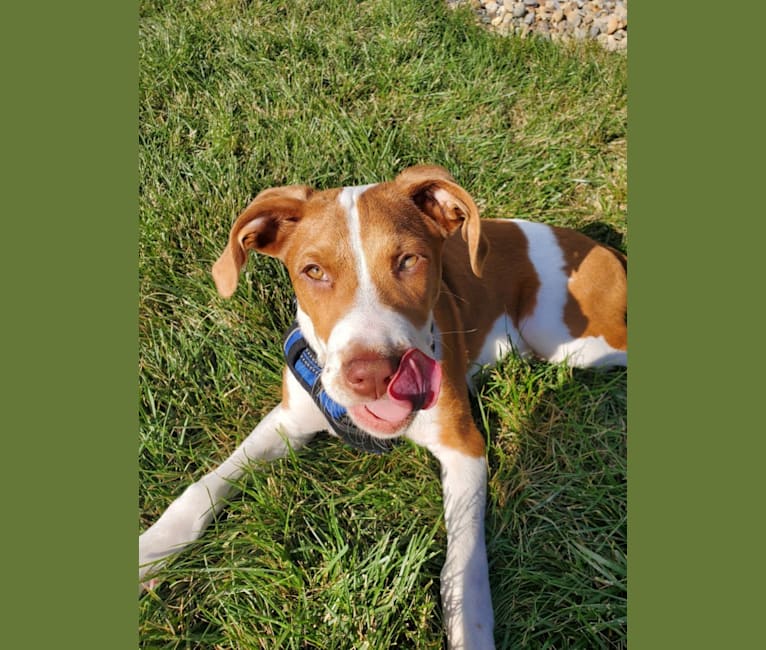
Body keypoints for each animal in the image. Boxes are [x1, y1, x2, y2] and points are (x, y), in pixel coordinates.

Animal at [140, 165, 632, 644]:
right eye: (313, 271)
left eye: (409, 260)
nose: (375, 374)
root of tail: (599, 246)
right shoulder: (289, 421)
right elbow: (207, 484)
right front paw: (155, 546)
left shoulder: (464, 446)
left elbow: (463, 562)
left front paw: (469, 628)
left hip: (566, 338)